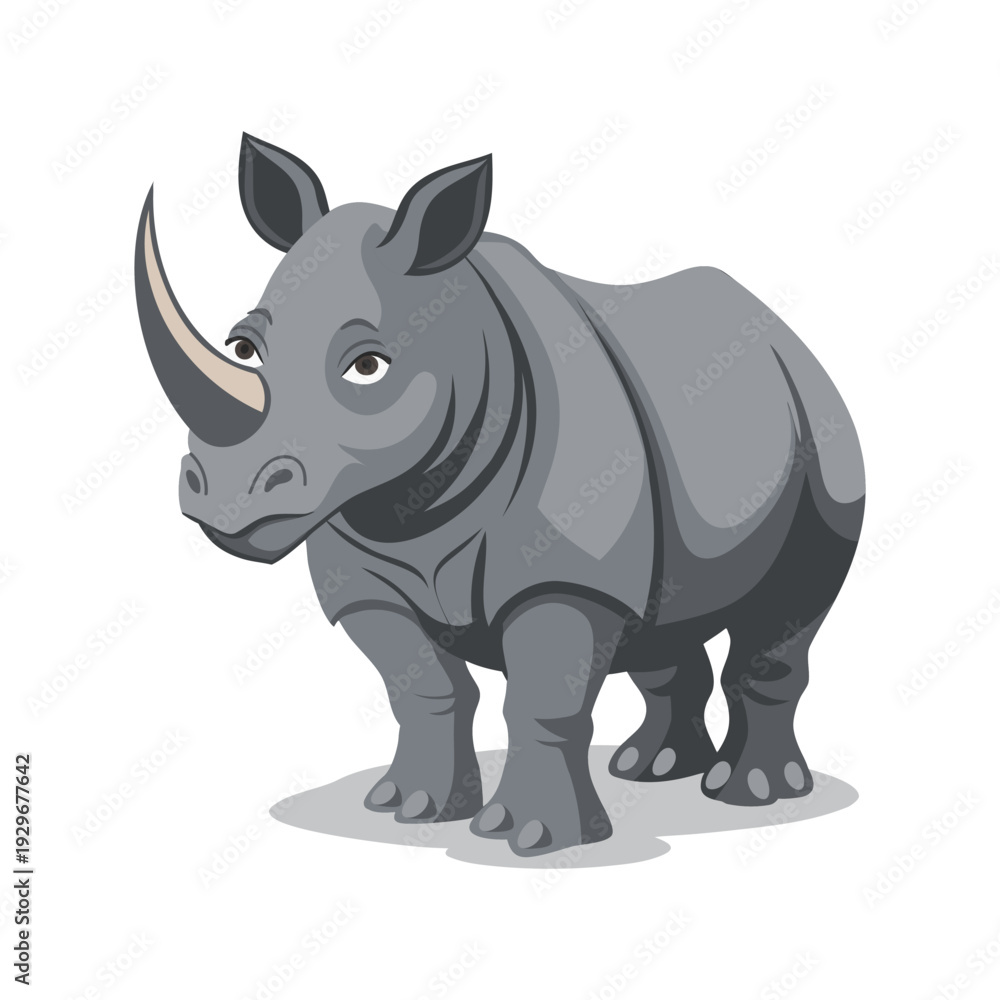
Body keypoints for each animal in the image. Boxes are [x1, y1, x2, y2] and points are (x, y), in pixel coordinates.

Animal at [134, 134, 865, 856]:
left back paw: (752, 792)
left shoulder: (568, 577)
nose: (224, 492)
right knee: (663, 622)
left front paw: (534, 839)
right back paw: (649, 768)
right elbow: (422, 687)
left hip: (820, 427)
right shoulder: (365, 579)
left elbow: (542, 699)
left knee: (787, 611)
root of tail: (778, 328)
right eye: (243, 347)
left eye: (369, 366)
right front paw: (410, 809)